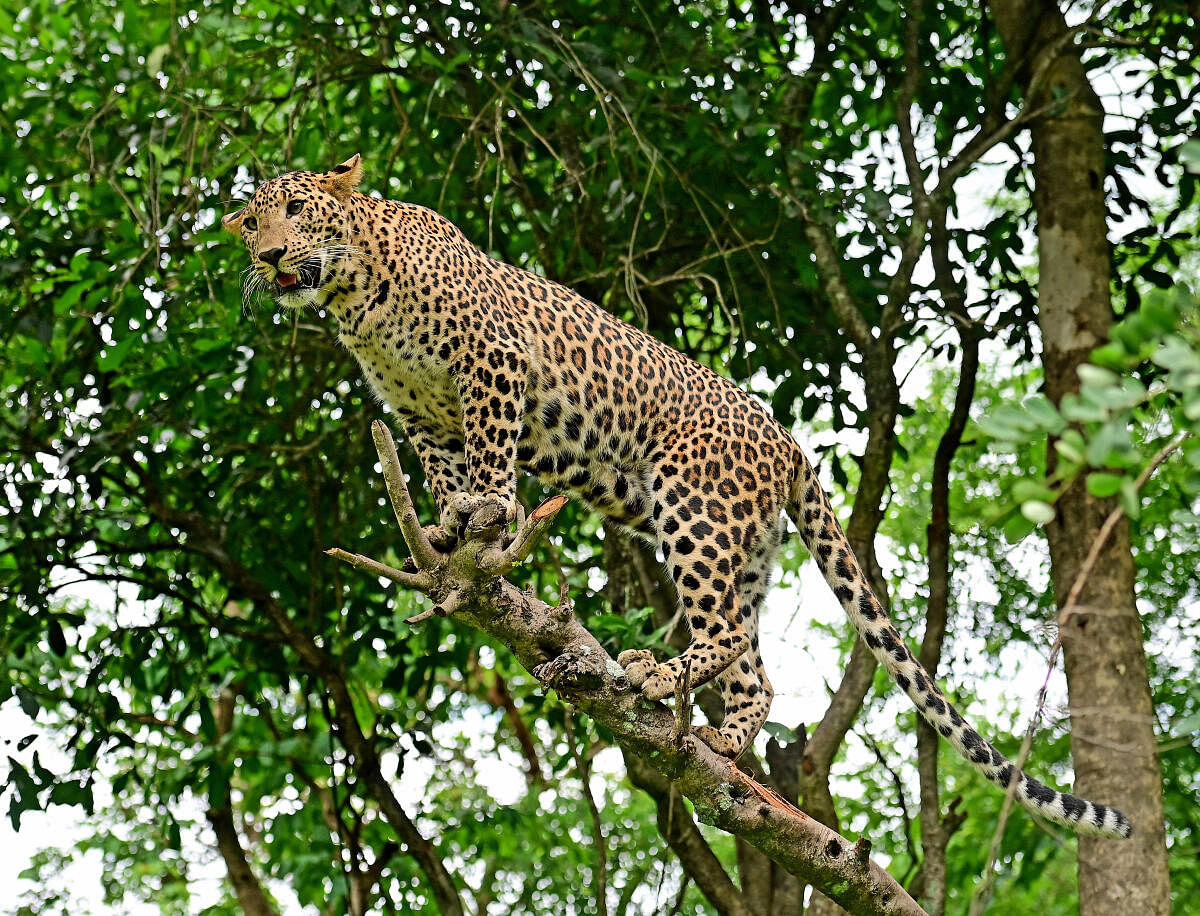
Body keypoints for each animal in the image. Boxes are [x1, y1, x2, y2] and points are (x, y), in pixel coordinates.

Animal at [225, 156, 1132, 840]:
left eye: (296, 211)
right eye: (253, 224)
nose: (268, 258)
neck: (354, 294)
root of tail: (786, 440)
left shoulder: (492, 367)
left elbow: (490, 459)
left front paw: (489, 515)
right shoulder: (419, 417)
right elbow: (445, 476)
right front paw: (450, 534)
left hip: (691, 508)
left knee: (725, 631)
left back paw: (656, 678)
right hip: (741, 544)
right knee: (751, 662)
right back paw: (718, 739)